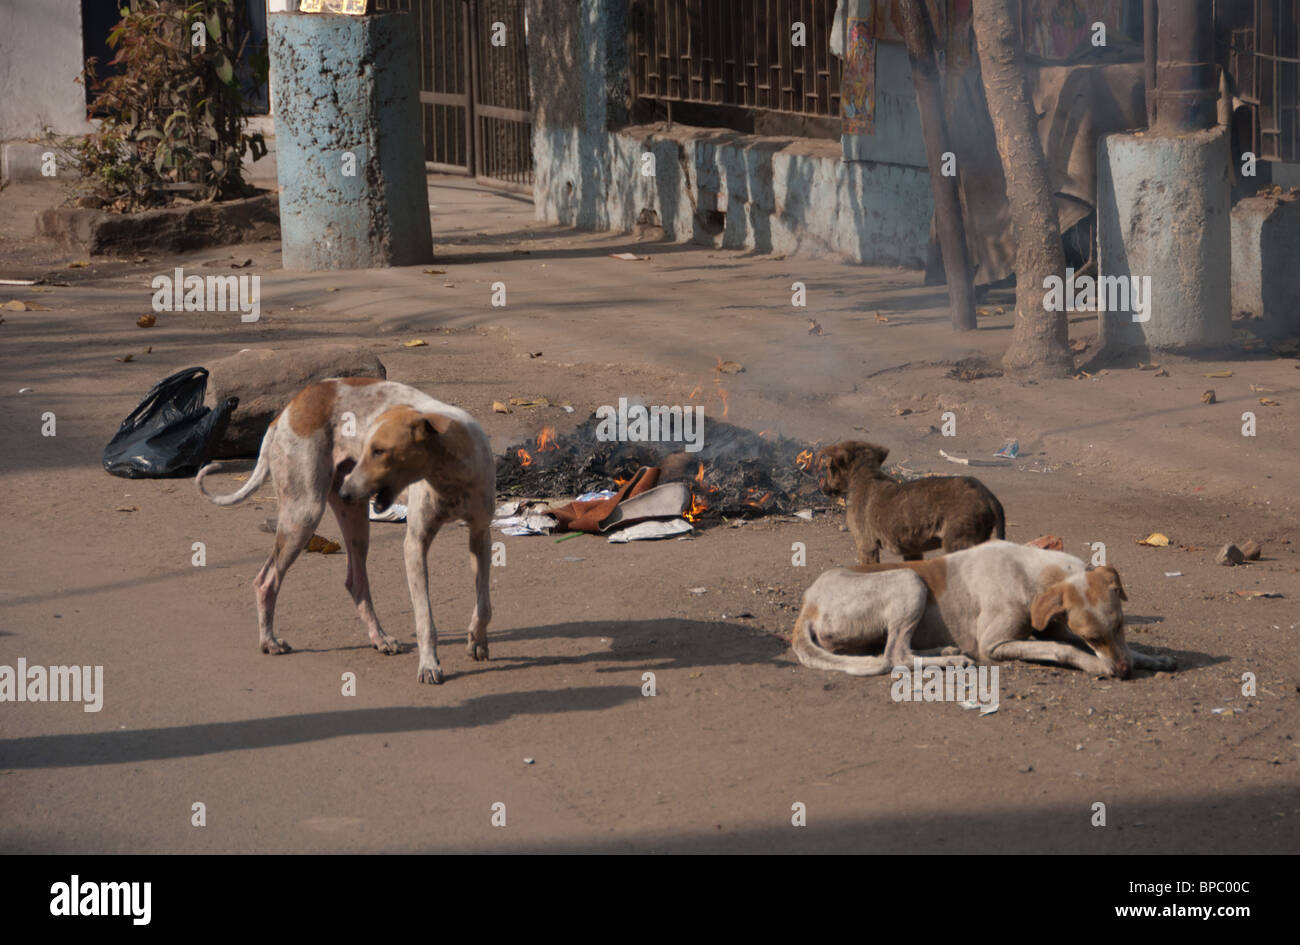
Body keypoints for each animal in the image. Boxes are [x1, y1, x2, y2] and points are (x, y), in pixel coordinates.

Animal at [195, 379, 493, 686]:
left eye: (379, 451)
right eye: (369, 448)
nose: (346, 492)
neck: (450, 474)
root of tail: (287, 411)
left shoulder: (481, 536)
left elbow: (484, 605)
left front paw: (477, 641)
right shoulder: (415, 545)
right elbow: (425, 619)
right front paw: (429, 664)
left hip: (355, 523)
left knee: (355, 582)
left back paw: (379, 638)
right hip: (303, 516)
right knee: (266, 580)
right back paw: (269, 641)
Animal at [790, 540, 1180, 681]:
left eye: (1121, 626)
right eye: (1092, 637)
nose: (1125, 672)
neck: (1032, 575)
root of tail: (808, 602)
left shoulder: (1058, 623)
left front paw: (1153, 658)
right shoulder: (994, 645)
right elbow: (1060, 648)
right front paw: (1095, 664)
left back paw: (943, 650)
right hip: (909, 581)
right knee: (894, 656)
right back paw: (951, 660)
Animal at [821, 441, 1003, 566]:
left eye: (829, 467)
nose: (823, 489)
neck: (866, 476)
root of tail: (987, 494)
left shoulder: (866, 545)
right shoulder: (912, 550)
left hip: (957, 544)